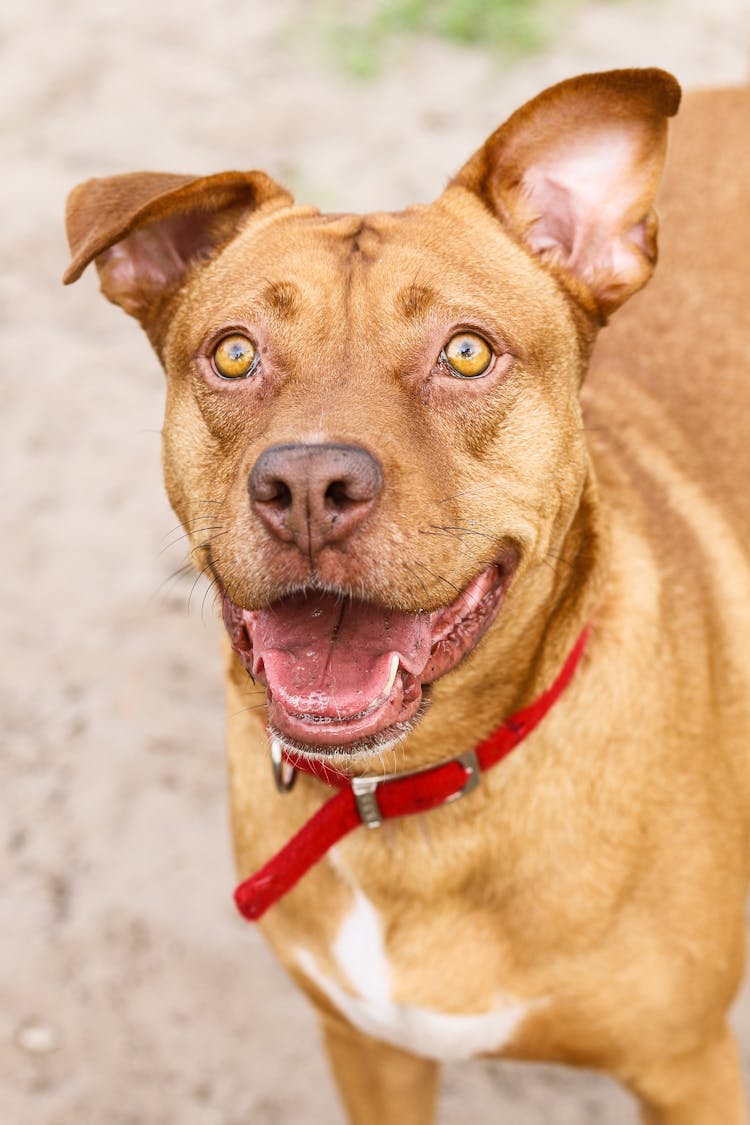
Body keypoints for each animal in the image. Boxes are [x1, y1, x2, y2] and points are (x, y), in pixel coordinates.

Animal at [62, 72, 750, 1125]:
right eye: (232, 354)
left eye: (466, 353)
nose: (308, 485)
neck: (412, 795)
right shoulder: (369, 1049)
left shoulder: (688, 1069)